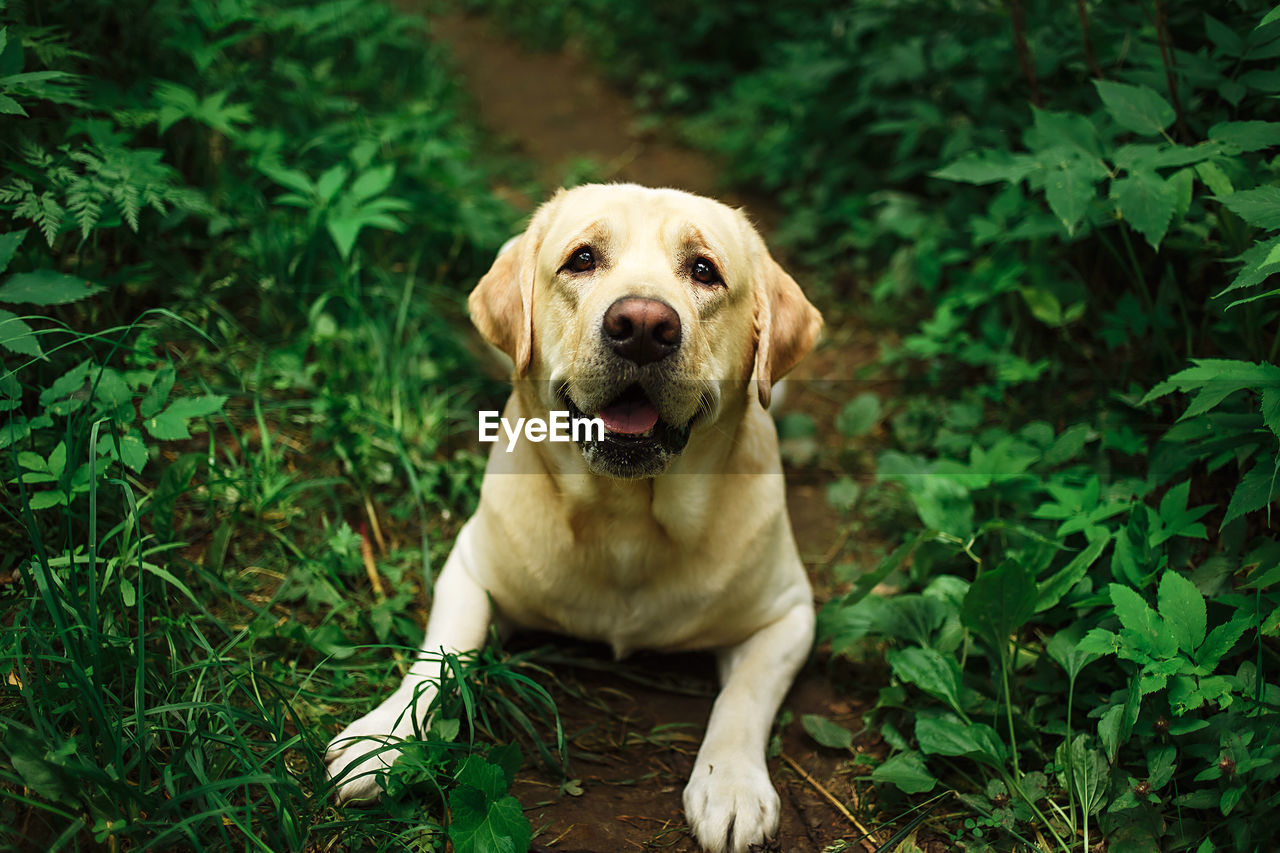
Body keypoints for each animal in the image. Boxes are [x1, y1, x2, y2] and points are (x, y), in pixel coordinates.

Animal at [322, 183, 819, 845]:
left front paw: (731, 785)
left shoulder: (788, 615)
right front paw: (383, 740)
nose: (643, 326)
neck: (627, 515)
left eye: (705, 271)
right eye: (582, 259)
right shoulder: (471, 570)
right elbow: (439, 659)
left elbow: (742, 696)